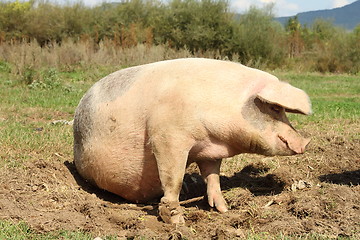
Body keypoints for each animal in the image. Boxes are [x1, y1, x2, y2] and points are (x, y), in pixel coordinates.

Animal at [72, 58, 310, 225]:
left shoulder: (209, 151)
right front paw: (177, 221)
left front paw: (224, 209)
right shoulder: (167, 136)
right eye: (275, 108)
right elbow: (172, 178)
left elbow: (213, 177)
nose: (304, 143)